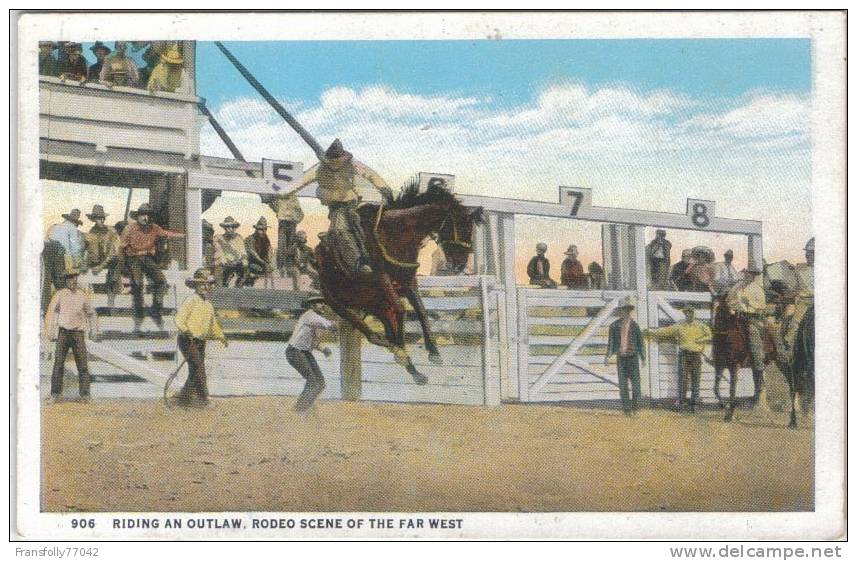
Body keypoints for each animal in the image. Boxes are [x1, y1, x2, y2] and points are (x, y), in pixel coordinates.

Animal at [312, 182, 482, 382]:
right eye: (463, 228)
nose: (460, 265)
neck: (396, 234)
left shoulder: (408, 280)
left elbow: (421, 311)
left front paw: (433, 352)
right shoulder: (381, 278)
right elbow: (401, 308)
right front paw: (404, 349)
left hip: (375, 304)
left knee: (387, 323)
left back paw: (412, 368)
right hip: (339, 303)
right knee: (371, 333)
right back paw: (397, 350)